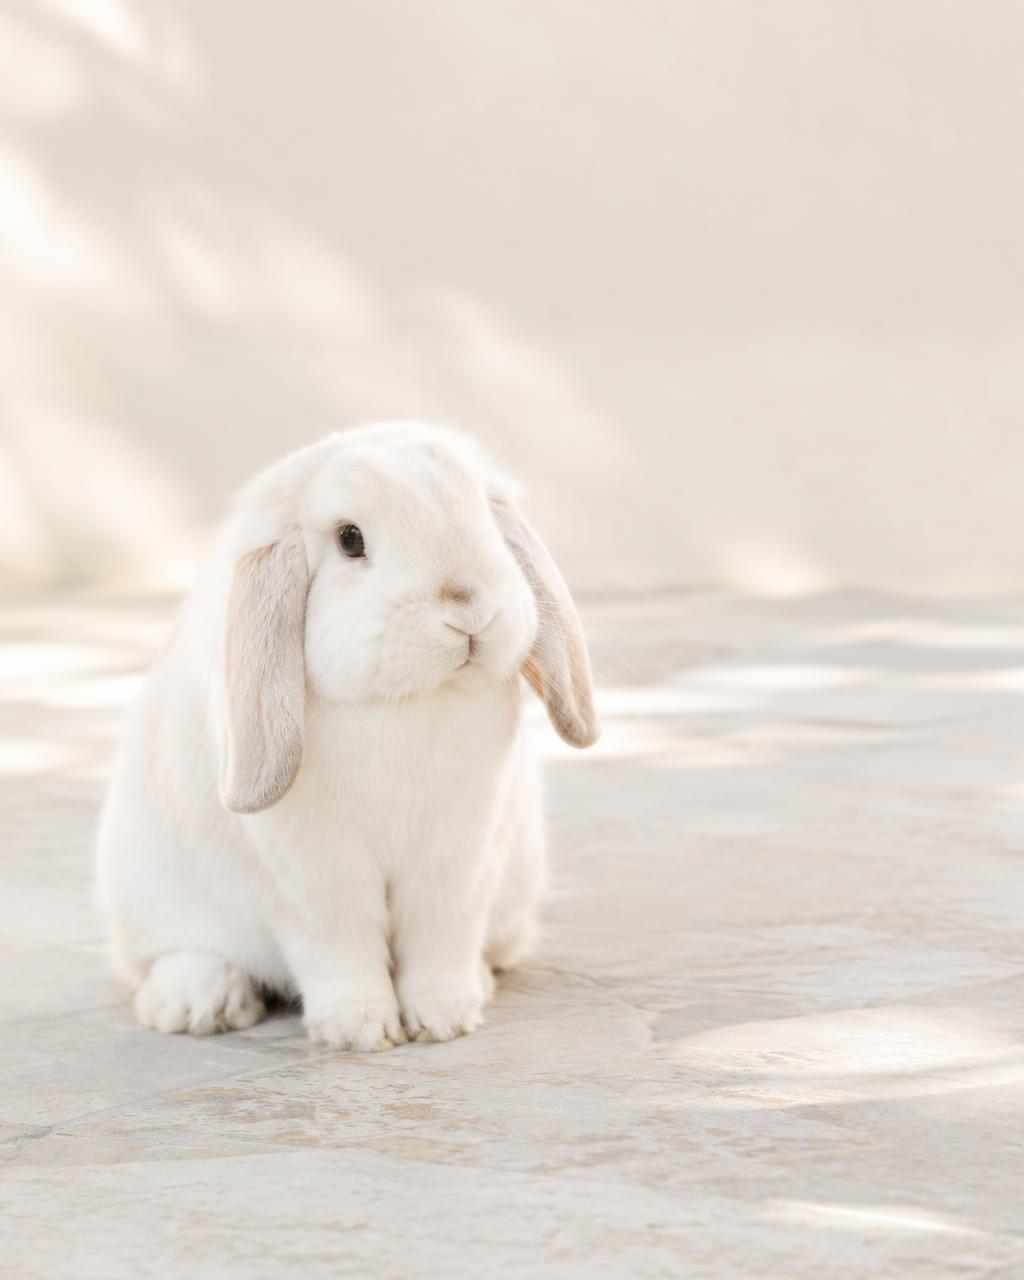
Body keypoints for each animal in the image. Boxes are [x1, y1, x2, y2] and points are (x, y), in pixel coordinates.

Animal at [95, 421, 599, 1050]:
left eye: (484, 513)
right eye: (350, 539)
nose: (470, 609)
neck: (403, 703)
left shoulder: (458, 856)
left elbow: (441, 934)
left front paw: (445, 1018)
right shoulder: (314, 872)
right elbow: (339, 943)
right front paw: (359, 1030)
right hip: (152, 897)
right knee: (170, 958)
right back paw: (200, 1004)